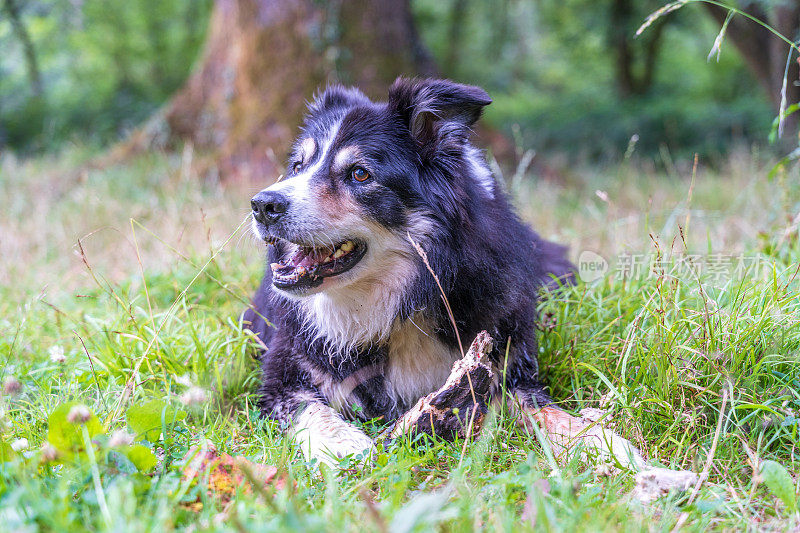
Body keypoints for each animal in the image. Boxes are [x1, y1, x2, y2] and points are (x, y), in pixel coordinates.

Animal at [244, 78, 656, 470]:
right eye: (298, 167)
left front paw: (611, 448)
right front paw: (345, 445)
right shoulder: (284, 373)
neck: (402, 303)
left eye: (360, 174)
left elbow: (549, 410)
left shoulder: (504, 364)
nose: (262, 205)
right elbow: (312, 408)